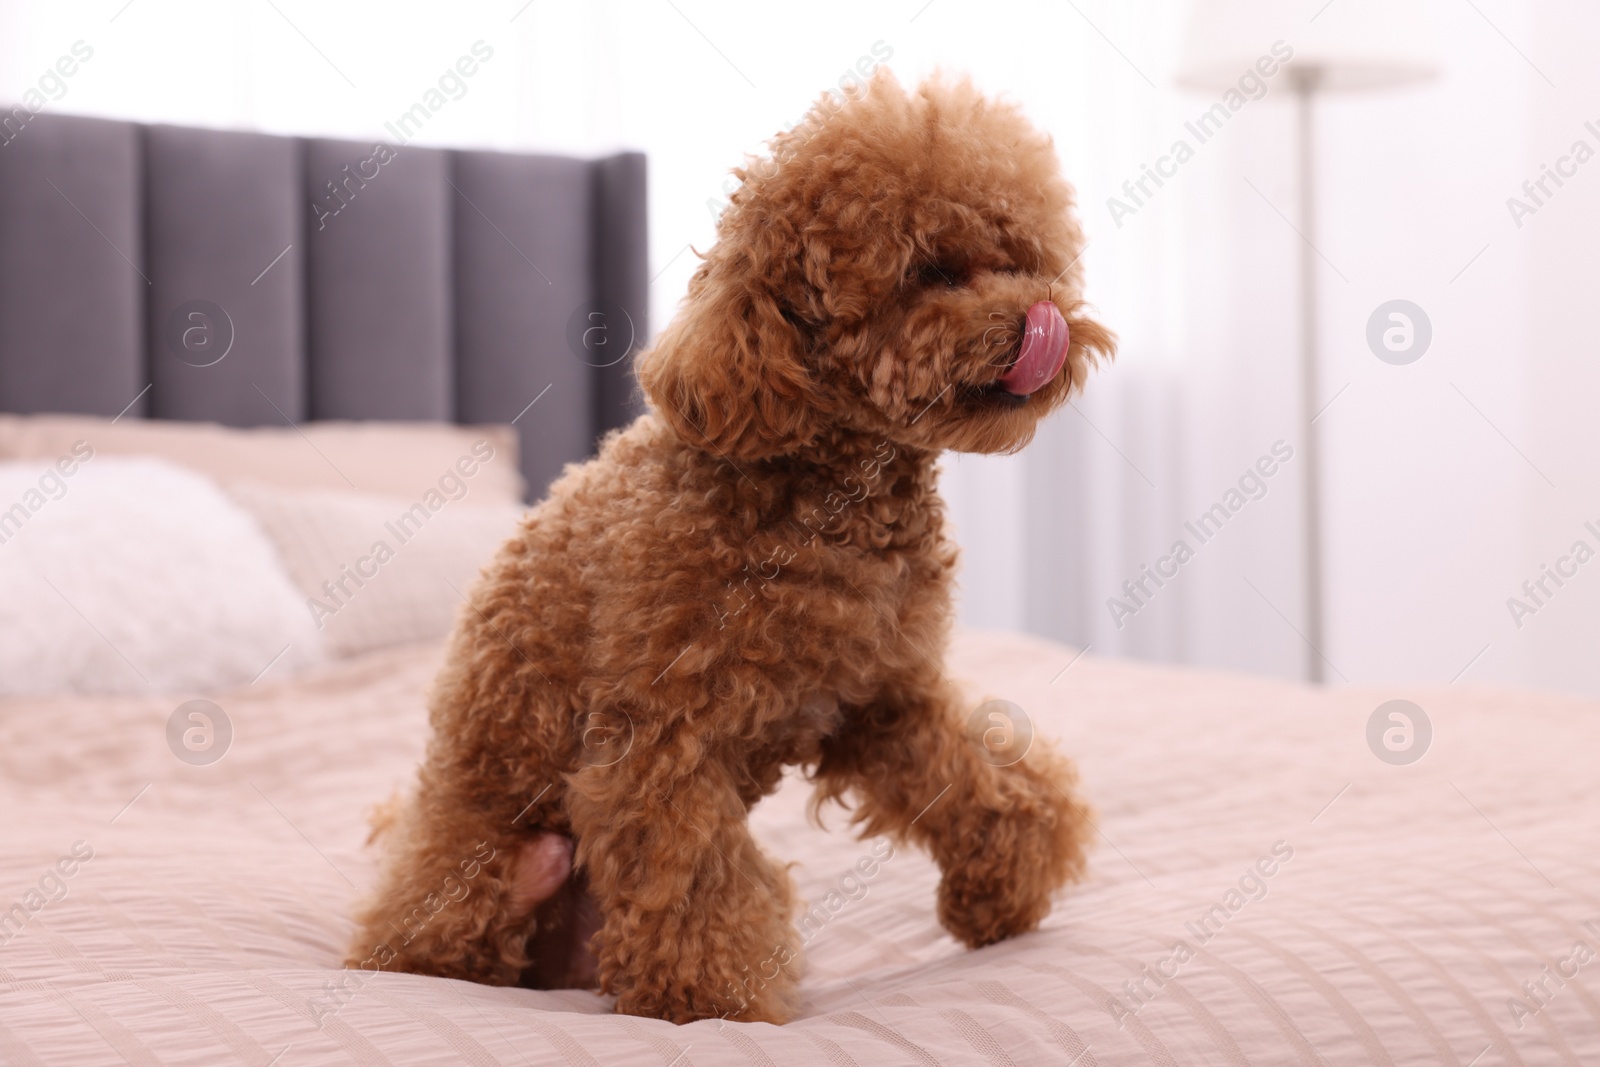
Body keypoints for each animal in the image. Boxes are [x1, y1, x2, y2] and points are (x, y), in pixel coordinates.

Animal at [347, 68, 1113, 1023]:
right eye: (930, 271)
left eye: (1020, 257)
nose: (1043, 319)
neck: (832, 492)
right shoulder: (660, 736)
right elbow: (690, 878)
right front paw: (711, 997)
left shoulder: (882, 697)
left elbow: (980, 776)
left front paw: (1007, 886)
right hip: (481, 862)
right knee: (443, 931)